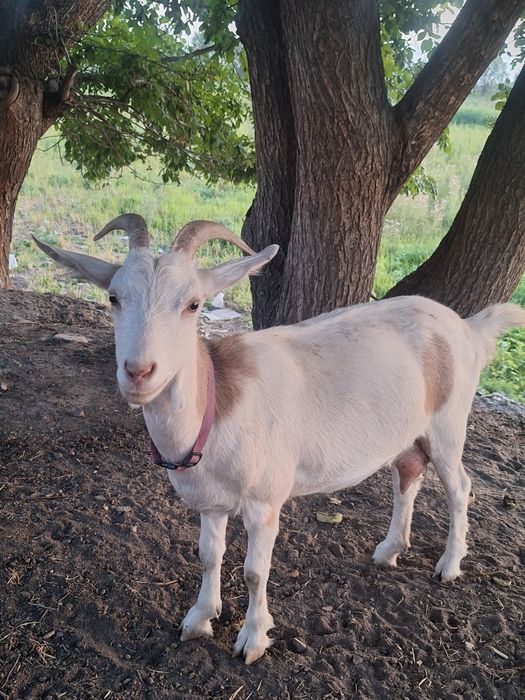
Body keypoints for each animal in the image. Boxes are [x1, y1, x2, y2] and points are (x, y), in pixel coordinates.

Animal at [34, 214, 525, 664]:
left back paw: (450, 565)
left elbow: (255, 571)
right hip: (412, 432)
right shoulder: (210, 502)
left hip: (449, 421)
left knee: (460, 487)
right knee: (407, 474)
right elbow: (208, 555)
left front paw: (253, 639)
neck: (217, 402)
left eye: (193, 304)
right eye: (113, 297)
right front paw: (200, 618)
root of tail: (468, 328)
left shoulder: (264, 501)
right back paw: (389, 550)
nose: (138, 372)